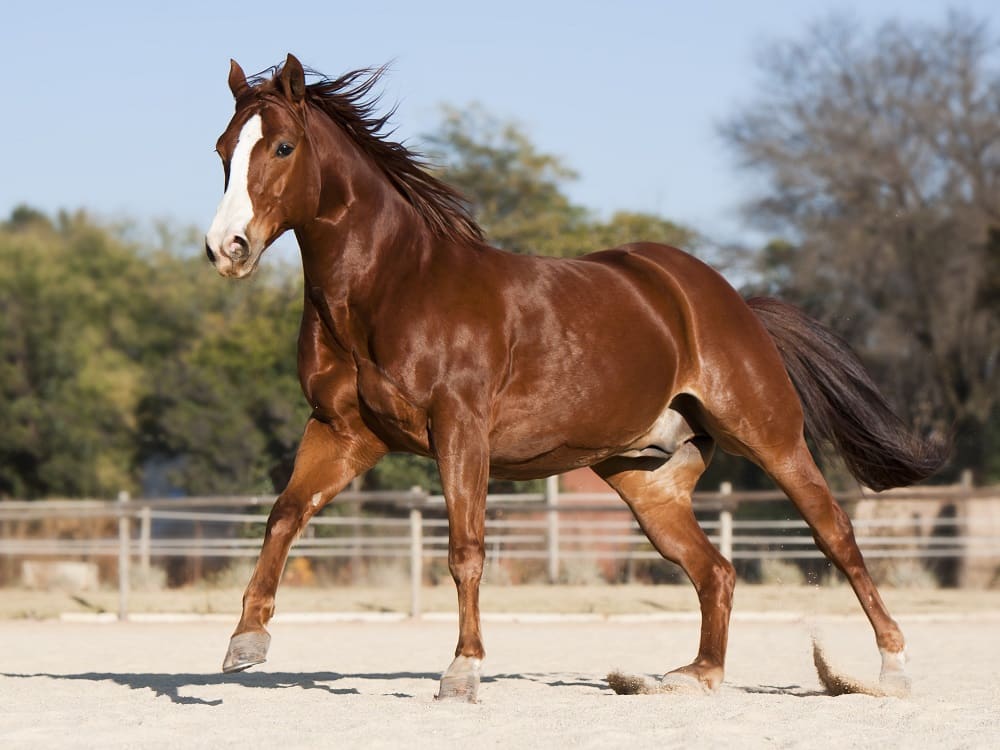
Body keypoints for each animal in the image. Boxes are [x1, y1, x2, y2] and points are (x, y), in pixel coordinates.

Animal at [205, 54, 944, 701]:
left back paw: (893, 672)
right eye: (223, 150)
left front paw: (463, 673)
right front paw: (246, 641)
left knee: (836, 536)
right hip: (647, 483)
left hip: (771, 438)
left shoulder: (458, 431)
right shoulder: (343, 432)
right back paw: (694, 677)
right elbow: (285, 514)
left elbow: (466, 549)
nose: (226, 248)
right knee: (717, 571)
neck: (392, 286)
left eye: (282, 147)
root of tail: (726, 300)